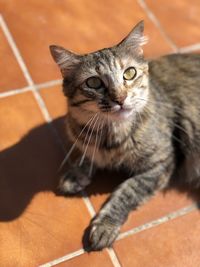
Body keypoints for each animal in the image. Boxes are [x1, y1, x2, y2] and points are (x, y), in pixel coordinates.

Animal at [49, 21, 200, 251]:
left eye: (129, 73)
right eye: (93, 83)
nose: (120, 98)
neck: (110, 135)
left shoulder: (162, 163)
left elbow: (127, 191)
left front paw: (104, 226)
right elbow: (87, 156)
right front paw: (76, 174)